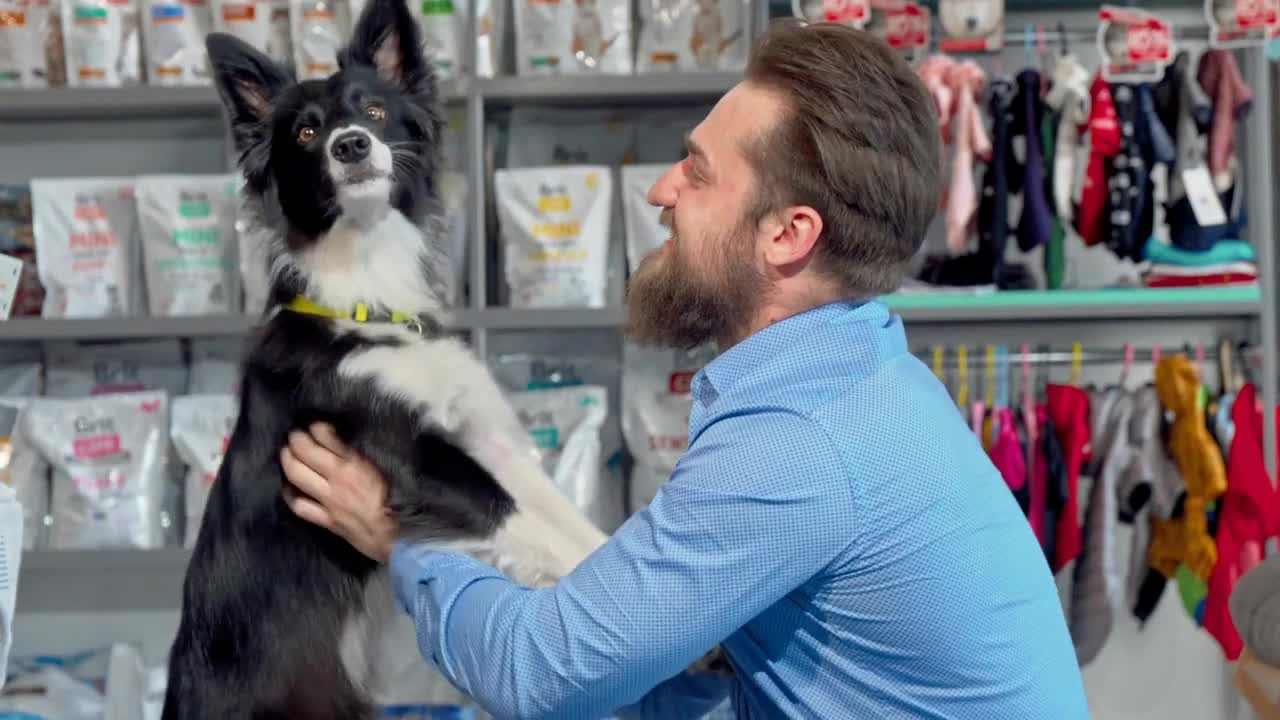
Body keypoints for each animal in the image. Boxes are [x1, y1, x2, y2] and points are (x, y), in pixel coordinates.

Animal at [163, 1, 609, 717]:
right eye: (306, 132)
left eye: (372, 110)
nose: (350, 145)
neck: (367, 301)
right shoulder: (414, 459)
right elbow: (526, 523)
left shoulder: (484, 437)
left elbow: (571, 524)